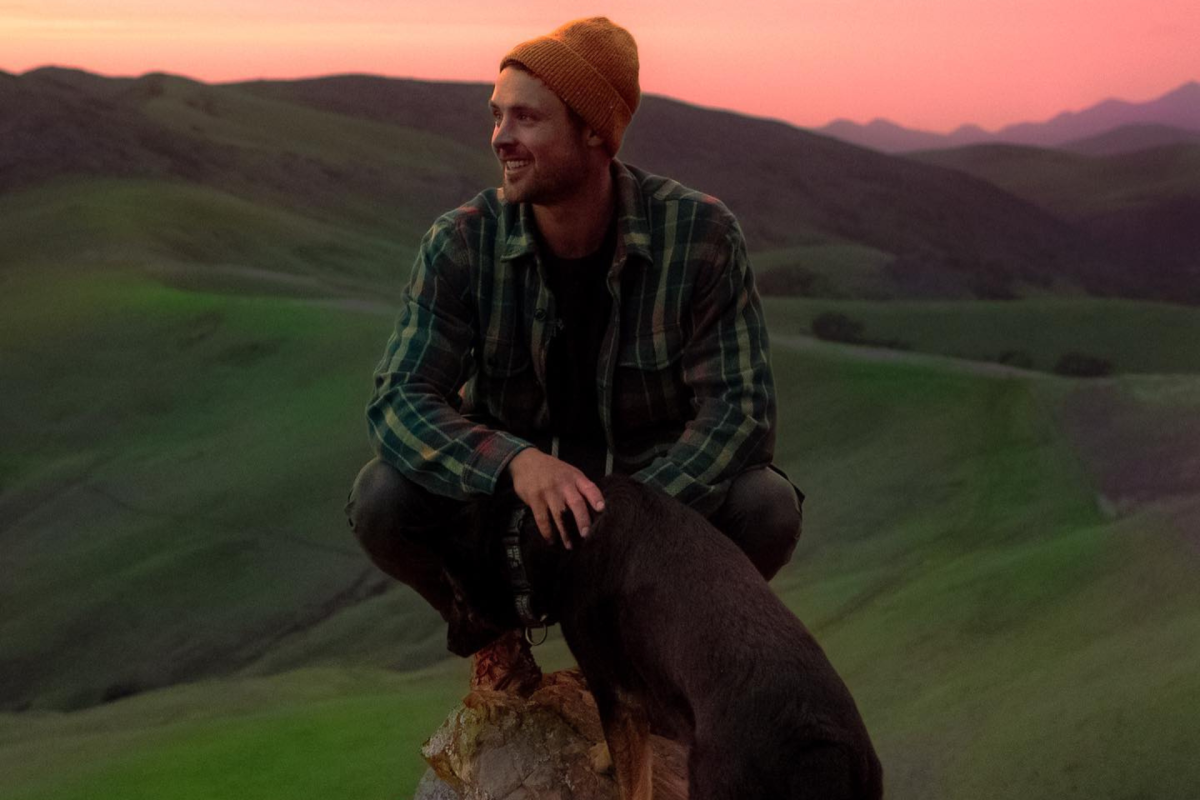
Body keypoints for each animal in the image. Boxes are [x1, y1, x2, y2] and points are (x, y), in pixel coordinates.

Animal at [441, 479, 883, 796]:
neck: (528, 535)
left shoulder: (611, 684)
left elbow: (632, 773)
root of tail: (815, 743)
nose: (450, 644)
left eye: (457, 596)